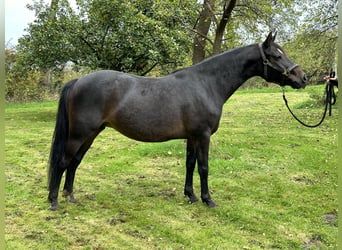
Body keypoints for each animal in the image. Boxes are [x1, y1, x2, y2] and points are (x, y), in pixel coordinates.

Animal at [46, 32, 306, 210]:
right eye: (276, 55)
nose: (302, 77)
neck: (206, 84)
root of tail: (77, 81)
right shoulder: (203, 136)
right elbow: (203, 167)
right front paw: (208, 200)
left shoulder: (192, 137)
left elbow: (190, 164)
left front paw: (190, 195)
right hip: (79, 134)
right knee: (63, 162)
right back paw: (54, 201)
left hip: (91, 134)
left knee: (74, 163)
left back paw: (70, 196)